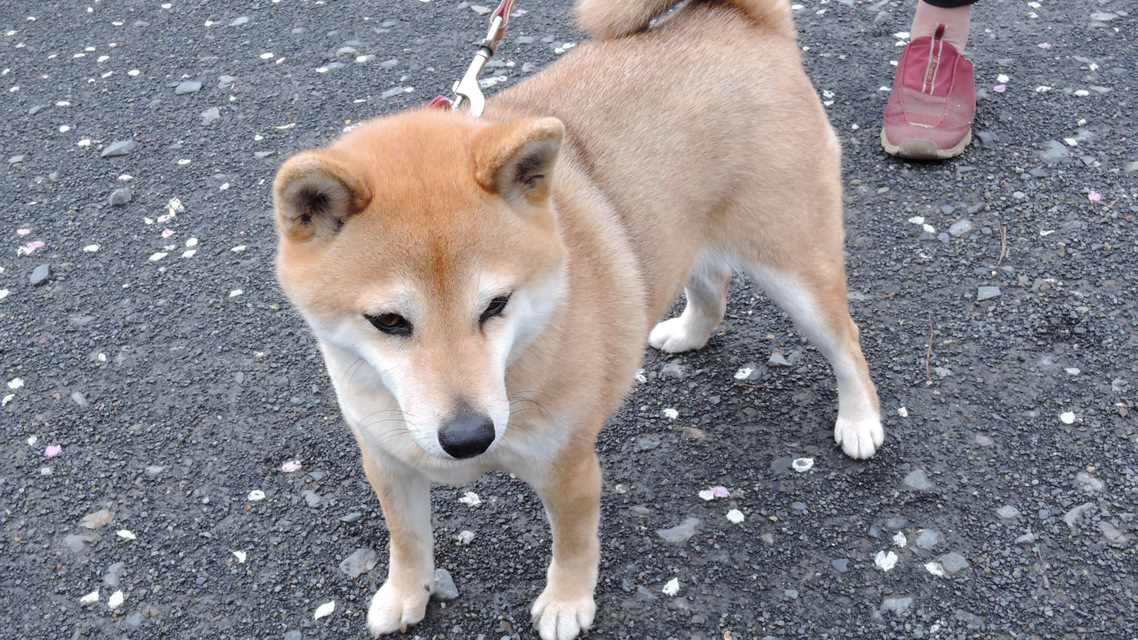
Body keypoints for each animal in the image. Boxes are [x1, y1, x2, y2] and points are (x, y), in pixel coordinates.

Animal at [270, 1, 883, 637]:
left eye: (496, 305)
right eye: (388, 321)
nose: (468, 438)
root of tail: (738, 21)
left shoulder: (568, 466)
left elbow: (573, 544)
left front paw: (566, 602)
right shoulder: (389, 463)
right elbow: (407, 539)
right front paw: (406, 591)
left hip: (794, 268)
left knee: (847, 343)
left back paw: (860, 420)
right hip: (687, 234)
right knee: (712, 285)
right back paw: (688, 333)